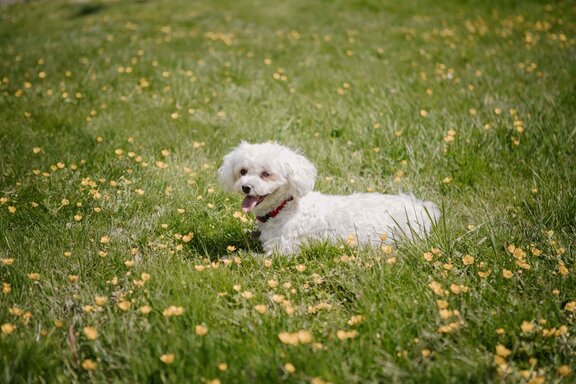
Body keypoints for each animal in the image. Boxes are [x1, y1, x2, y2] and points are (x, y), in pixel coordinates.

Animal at [218, 142, 438, 254]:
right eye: (243, 171)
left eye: (265, 174)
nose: (246, 187)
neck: (285, 208)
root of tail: (423, 208)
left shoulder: (282, 250)